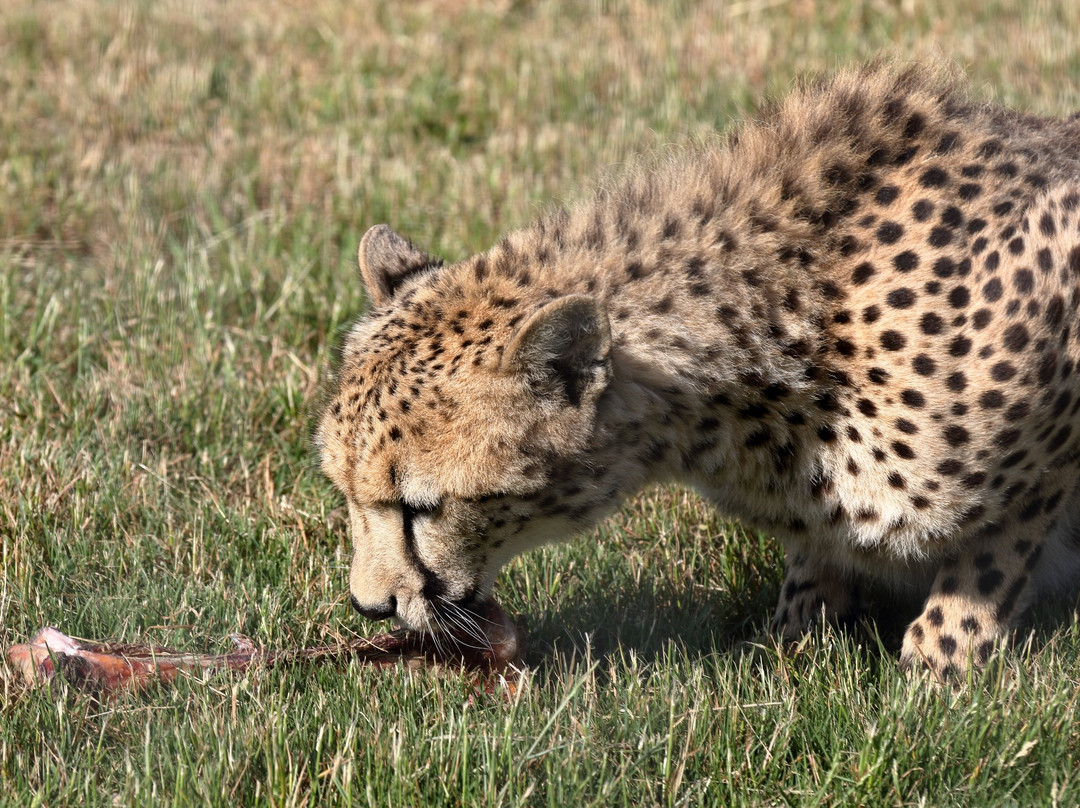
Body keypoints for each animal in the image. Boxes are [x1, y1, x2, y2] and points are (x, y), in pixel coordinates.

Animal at [315, 63, 1080, 678]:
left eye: (424, 507)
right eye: (345, 491)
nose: (368, 606)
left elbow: (987, 563)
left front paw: (938, 677)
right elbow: (818, 574)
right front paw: (795, 650)